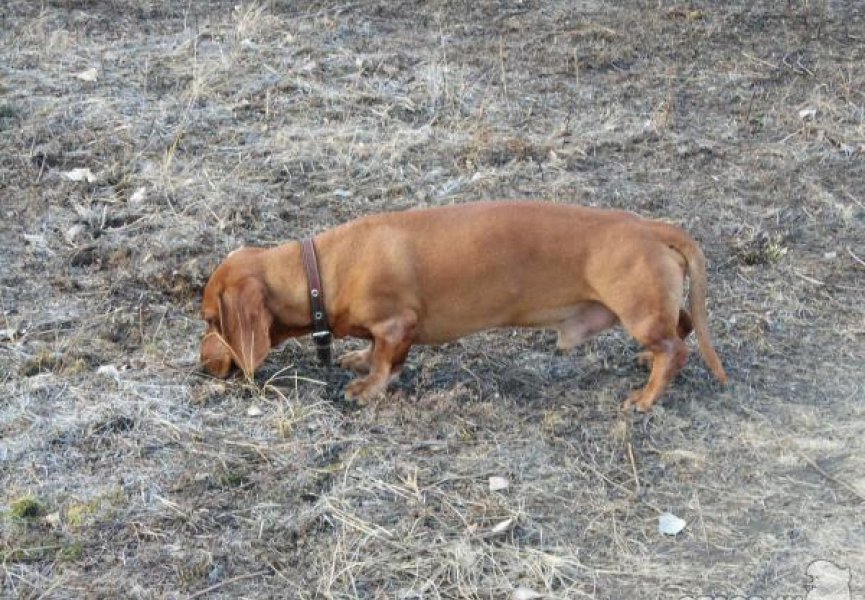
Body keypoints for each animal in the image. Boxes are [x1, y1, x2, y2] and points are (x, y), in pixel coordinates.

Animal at [199, 202, 724, 412]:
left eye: (209, 319)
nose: (202, 366)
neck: (320, 272)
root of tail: (650, 227)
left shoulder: (398, 325)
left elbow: (386, 361)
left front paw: (367, 388)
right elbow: (372, 351)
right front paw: (359, 360)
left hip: (637, 313)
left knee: (674, 349)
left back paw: (646, 397)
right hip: (648, 310)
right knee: (680, 327)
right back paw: (643, 363)